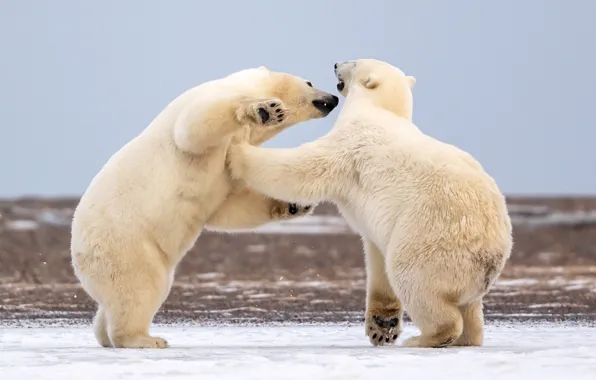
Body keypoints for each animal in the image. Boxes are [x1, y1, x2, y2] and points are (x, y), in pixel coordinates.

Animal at [70, 65, 340, 348]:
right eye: (309, 82)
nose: (333, 99)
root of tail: (78, 254)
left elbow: (231, 205)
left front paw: (295, 204)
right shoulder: (205, 100)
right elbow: (193, 128)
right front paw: (265, 110)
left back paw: (105, 333)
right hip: (126, 245)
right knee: (139, 288)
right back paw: (145, 339)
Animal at [226, 58, 516, 348]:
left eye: (354, 62)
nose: (336, 63)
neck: (381, 110)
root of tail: (491, 254)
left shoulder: (351, 145)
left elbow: (303, 168)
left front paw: (237, 150)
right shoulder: (380, 223)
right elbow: (377, 259)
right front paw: (382, 325)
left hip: (430, 237)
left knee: (414, 280)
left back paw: (425, 338)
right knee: (469, 307)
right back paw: (466, 338)